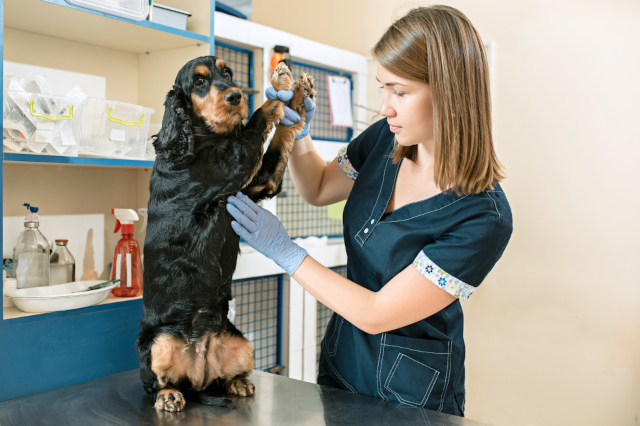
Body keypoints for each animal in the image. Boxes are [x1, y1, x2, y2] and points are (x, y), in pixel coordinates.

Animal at [136, 55, 314, 412]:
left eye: (228, 73)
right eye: (199, 82)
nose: (235, 95)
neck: (203, 138)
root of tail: (197, 373)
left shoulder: (260, 182)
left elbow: (280, 137)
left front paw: (298, 92)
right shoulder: (235, 163)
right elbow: (258, 119)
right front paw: (281, 84)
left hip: (241, 342)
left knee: (224, 377)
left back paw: (238, 383)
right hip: (157, 342)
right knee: (154, 383)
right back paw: (169, 396)